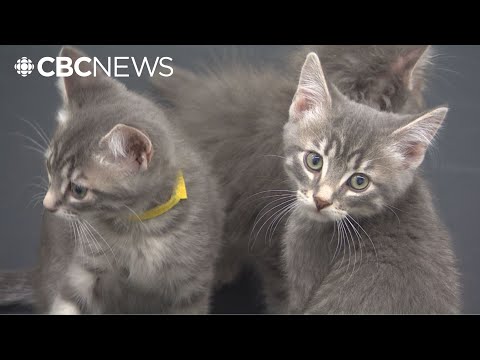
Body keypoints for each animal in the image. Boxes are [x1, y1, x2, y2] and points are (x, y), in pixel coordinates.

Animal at [0, 46, 225, 314]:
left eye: (78, 190)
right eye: (48, 166)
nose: (47, 205)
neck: (140, 228)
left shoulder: (192, 283)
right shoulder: (83, 269)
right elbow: (68, 301)